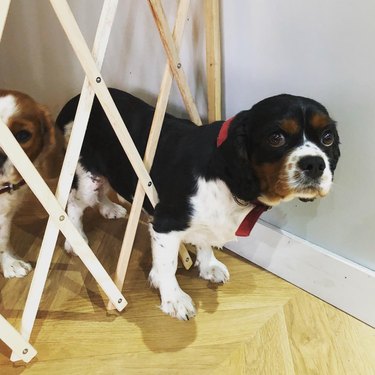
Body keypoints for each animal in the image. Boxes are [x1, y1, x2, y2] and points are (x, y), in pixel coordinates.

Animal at [55, 88, 340, 320]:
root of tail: (76, 100)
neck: (224, 172)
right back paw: (76, 240)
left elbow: (204, 240)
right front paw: (173, 299)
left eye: (327, 138)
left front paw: (208, 266)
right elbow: (168, 264)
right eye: (276, 138)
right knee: (75, 203)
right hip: (86, 175)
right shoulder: (166, 223)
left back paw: (109, 208)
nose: (315, 164)